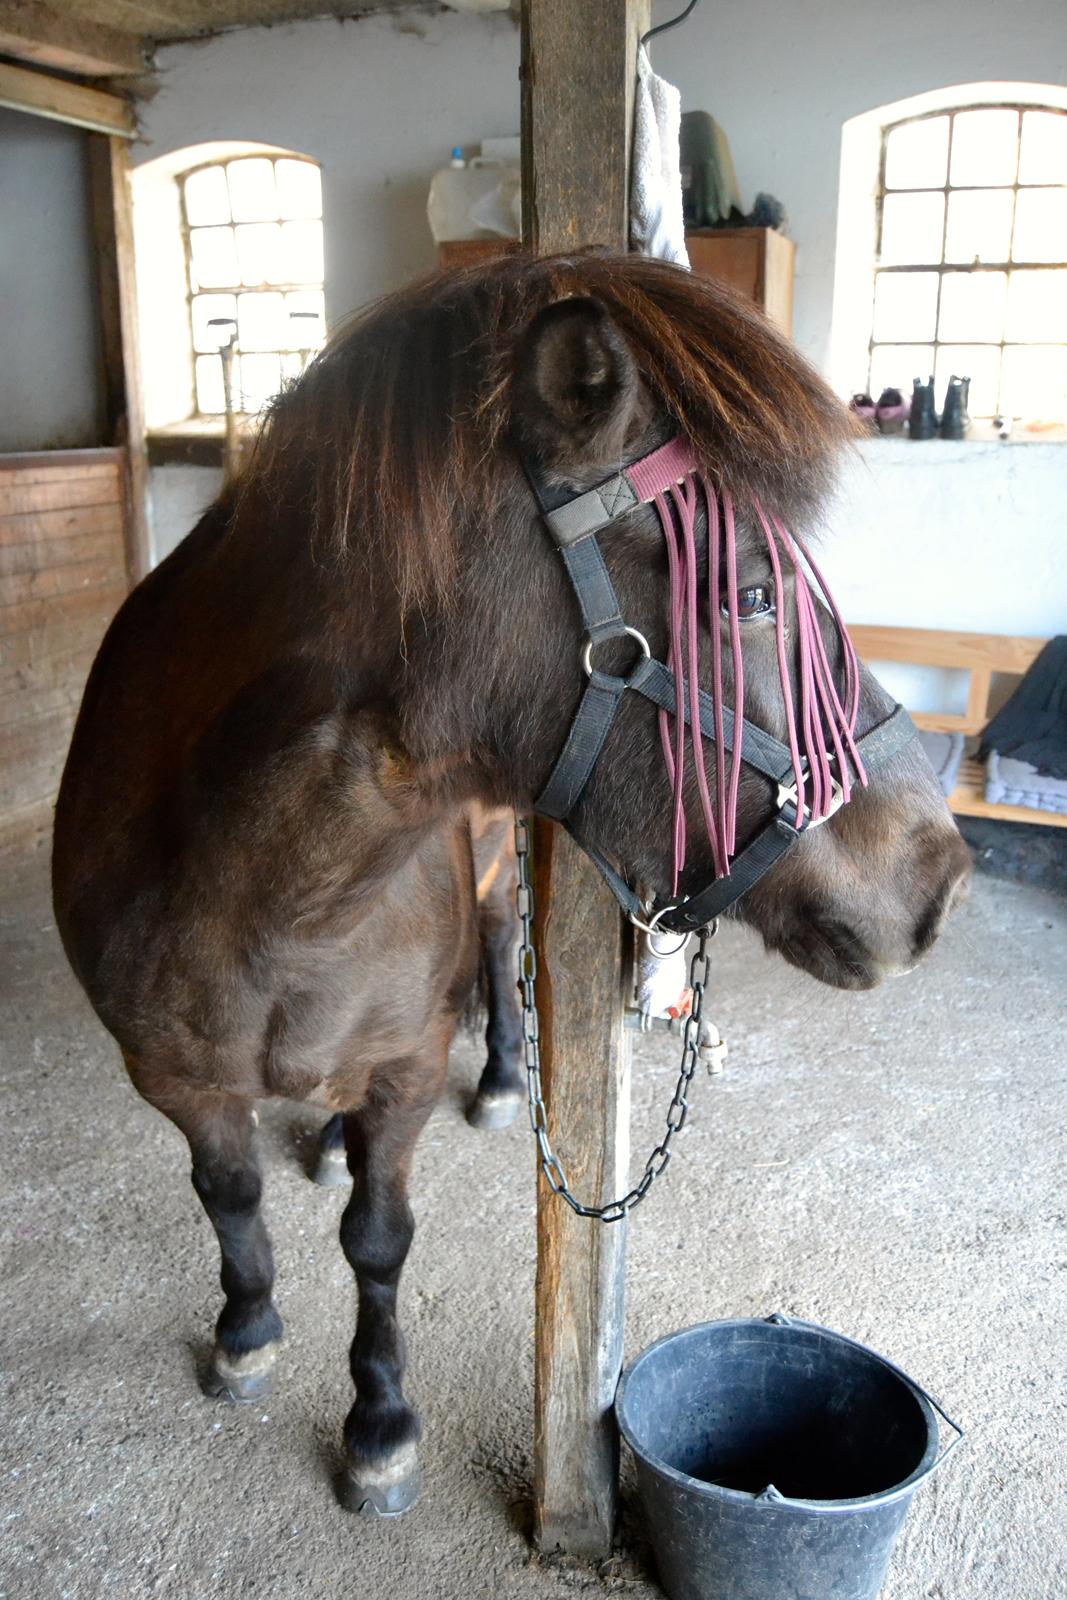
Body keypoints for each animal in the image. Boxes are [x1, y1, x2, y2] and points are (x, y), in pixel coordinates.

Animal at [52, 251, 971, 1518]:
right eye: (744, 596)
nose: (936, 872)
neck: (269, 895)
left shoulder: (400, 1067)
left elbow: (376, 1236)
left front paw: (379, 1423)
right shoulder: (170, 1071)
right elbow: (227, 1195)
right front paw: (245, 1330)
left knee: (495, 945)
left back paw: (493, 1079)